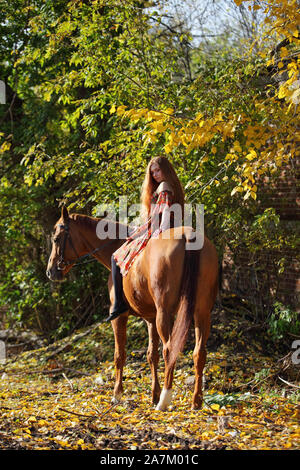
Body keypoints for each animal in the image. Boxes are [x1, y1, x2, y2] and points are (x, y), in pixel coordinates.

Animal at [45, 206, 218, 408]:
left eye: (56, 239)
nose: (50, 271)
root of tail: (188, 236)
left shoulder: (120, 317)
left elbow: (119, 355)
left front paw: (117, 394)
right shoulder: (151, 319)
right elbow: (152, 355)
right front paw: (153, 394)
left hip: (165, 313)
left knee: (169, 350)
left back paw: (165, 400)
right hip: (201, 313)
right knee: (199, 353)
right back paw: (196, 401)